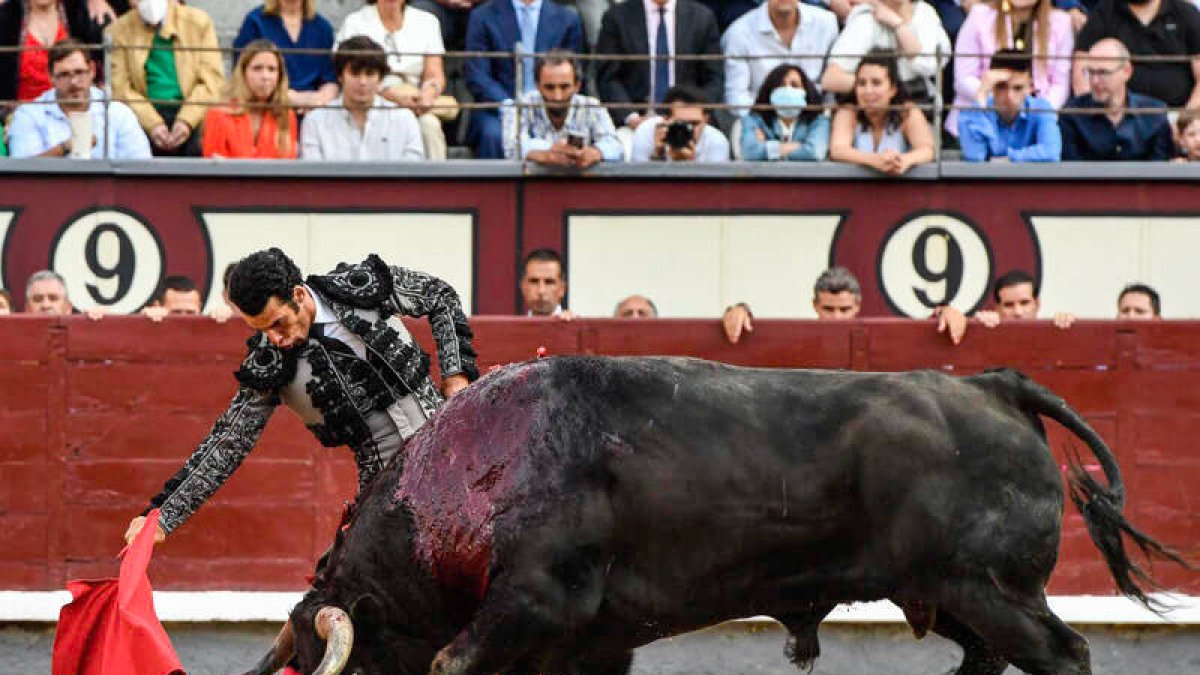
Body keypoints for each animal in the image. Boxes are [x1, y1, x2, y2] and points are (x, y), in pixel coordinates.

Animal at [243, 355, 1190, 667]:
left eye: (345, 663)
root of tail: (997, 385)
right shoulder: (584, 641)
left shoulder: (533, 602)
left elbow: (449, 660)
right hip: (950, 593)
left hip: (991, 586)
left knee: (1064, 655)